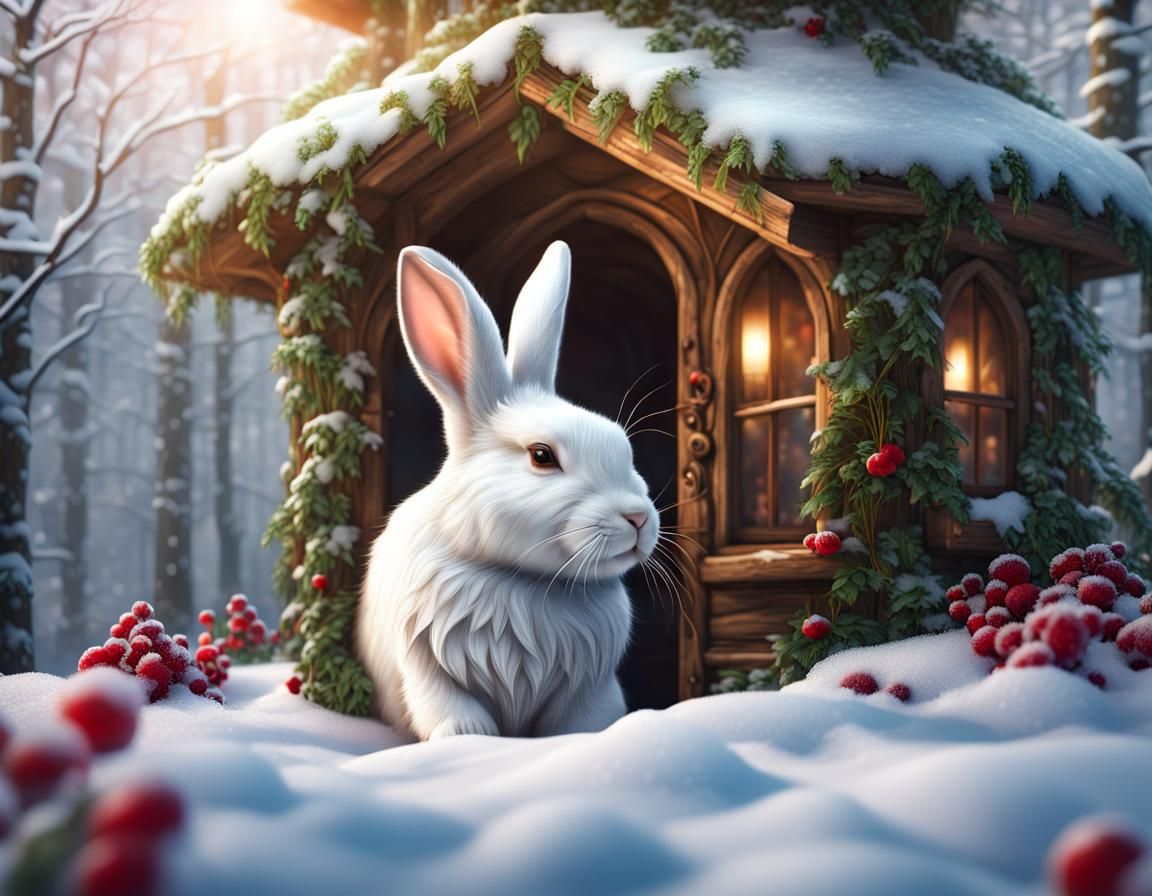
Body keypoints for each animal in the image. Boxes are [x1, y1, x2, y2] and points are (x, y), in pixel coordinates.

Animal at [357, 241, 659, 741]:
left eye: (623, 444)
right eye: (542, 455)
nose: (637, 518)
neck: (522, 579)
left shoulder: (589, 688)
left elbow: (579, 724)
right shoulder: (426, 665)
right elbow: (453, 710)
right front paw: (468, 741)